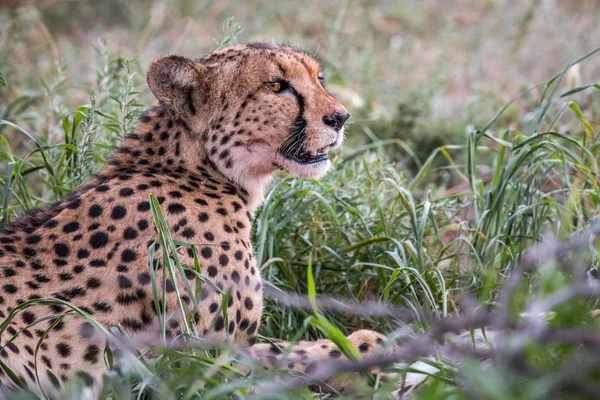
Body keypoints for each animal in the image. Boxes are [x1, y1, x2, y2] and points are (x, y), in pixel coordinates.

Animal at [0, 43, 390, 394]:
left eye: (318, 78)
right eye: (276, 85)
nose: (340, 118)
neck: (199, 170)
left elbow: (281, 348)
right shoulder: (188, 367)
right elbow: (290, 358)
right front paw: (370, 347)